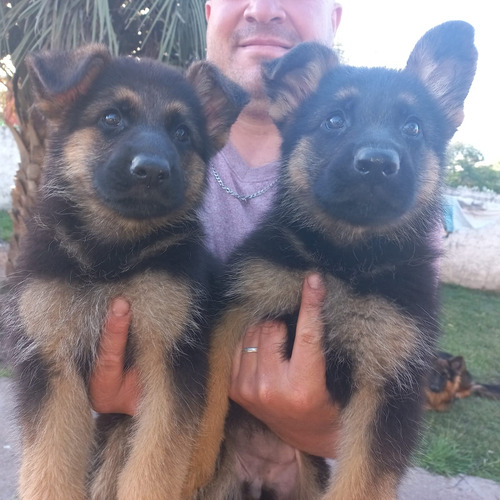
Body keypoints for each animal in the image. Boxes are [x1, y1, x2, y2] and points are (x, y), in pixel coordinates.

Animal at [1, 45, 248, 498]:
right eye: (111, 118)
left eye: (182, 133)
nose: (151, 170)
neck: (112, 256)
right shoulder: (53, 366)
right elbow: (49, 469)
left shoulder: (170, 363)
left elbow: (153, 470)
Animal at [186, 21, 478, 498]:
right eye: (335, 121)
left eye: (413, 128)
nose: (377, 163)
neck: (344, 259)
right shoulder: (232, 313)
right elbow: (200, 407)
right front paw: (182, 468)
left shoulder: (389, 385)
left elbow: (362, 479)